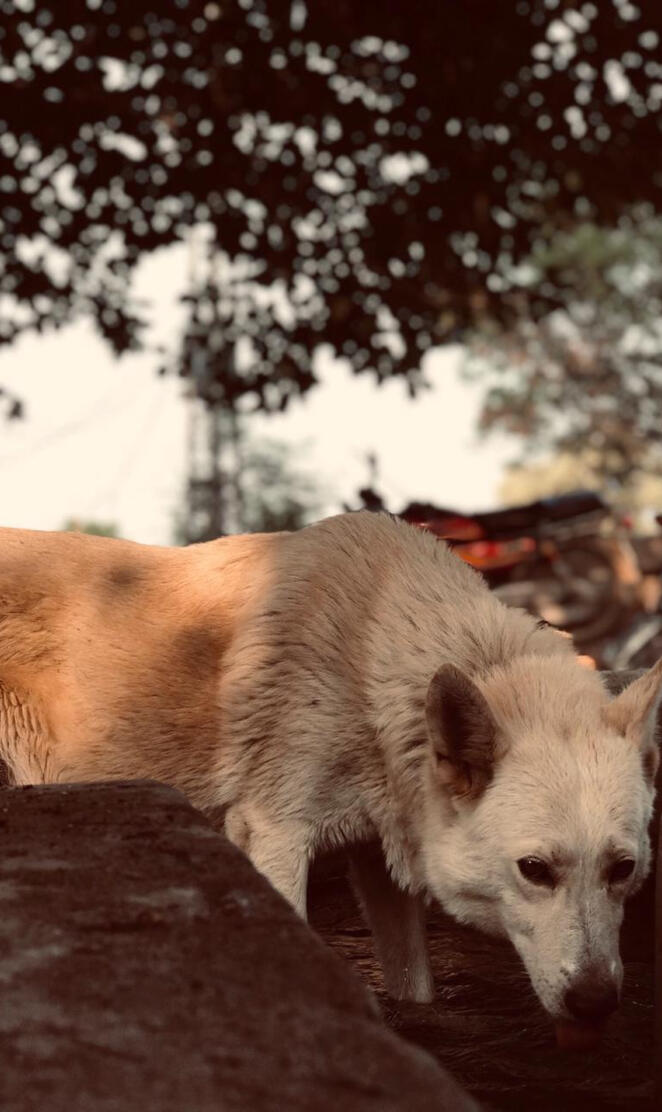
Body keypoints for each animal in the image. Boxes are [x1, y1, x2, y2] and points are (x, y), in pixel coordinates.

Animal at [0, 511, 659, 1042]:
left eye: (623, 869)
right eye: (535, 870)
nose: (596, 1003)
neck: (376, 647)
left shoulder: (380, 863)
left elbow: (415, 989)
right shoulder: (276, 835)